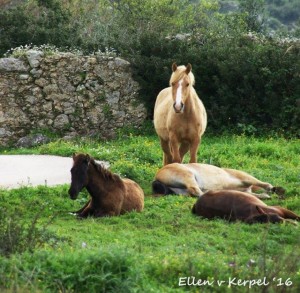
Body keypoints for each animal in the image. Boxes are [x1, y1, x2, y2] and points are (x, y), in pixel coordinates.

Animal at [154, 162, 284, 198]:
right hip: (188, 175)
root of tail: (158, 175)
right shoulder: (245, 179)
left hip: (181, 189)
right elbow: (260, 183)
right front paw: (271, 189)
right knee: (196, 190)